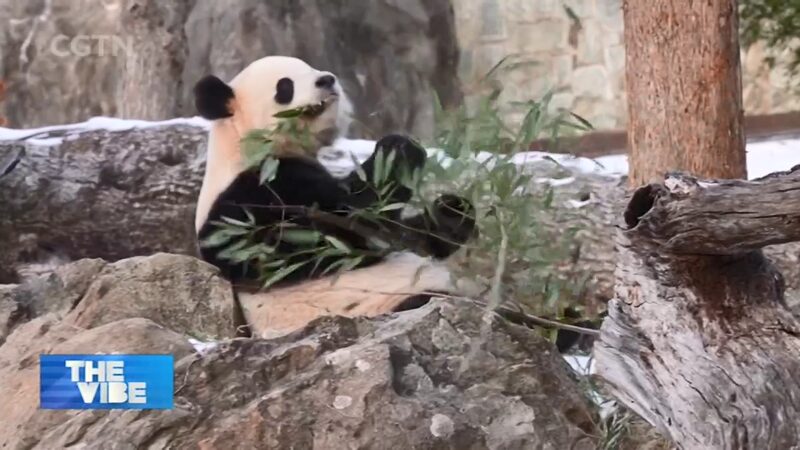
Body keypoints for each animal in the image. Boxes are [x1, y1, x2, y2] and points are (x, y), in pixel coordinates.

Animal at [192, 56, 476, 337]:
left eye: (309, 67)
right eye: (285, 86)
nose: (326, 79)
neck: (240, 148)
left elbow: (406, 234)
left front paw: (453, 210)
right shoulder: (255, 199)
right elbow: (350, 224)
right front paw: (398, 148)